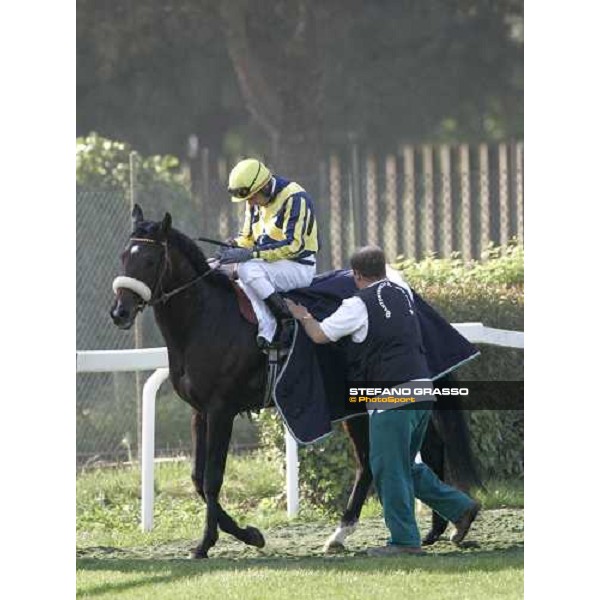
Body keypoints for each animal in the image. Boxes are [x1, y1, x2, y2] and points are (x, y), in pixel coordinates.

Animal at [110, 207, 480, 556]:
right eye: (124, 256)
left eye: (150, 259)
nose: (119, 312)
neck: (205, 319)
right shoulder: (199, 412)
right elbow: (198, 480)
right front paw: (241, 535)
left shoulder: (221, 410)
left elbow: (213, 479)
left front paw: (216, 541)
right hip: (357, 404)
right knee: (374, 461)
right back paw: (367, 532)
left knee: (417, 449)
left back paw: (436, 527)